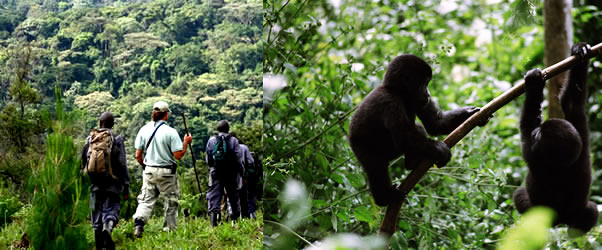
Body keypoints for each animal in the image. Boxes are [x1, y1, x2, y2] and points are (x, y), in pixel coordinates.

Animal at [350, 55, 486, 207]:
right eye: (424, 84)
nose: (428, 94)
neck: (397, 92)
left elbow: (436, 123)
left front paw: (472, 115)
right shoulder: (390, 103)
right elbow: (404, 138)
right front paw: (439, 149)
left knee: (418, 128)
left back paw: (413, 162)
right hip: (360, 147)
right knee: (376, 168)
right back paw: (384, 198)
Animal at [510, 42, 596, 232]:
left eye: (538, 136)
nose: (535, 133)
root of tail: (561, 221)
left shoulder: (534, 155)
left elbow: (526, 126)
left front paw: (534, 85)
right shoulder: (581, 138)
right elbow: (572, 102)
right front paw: (581, 51)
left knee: (519, 195)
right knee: (593, 211)